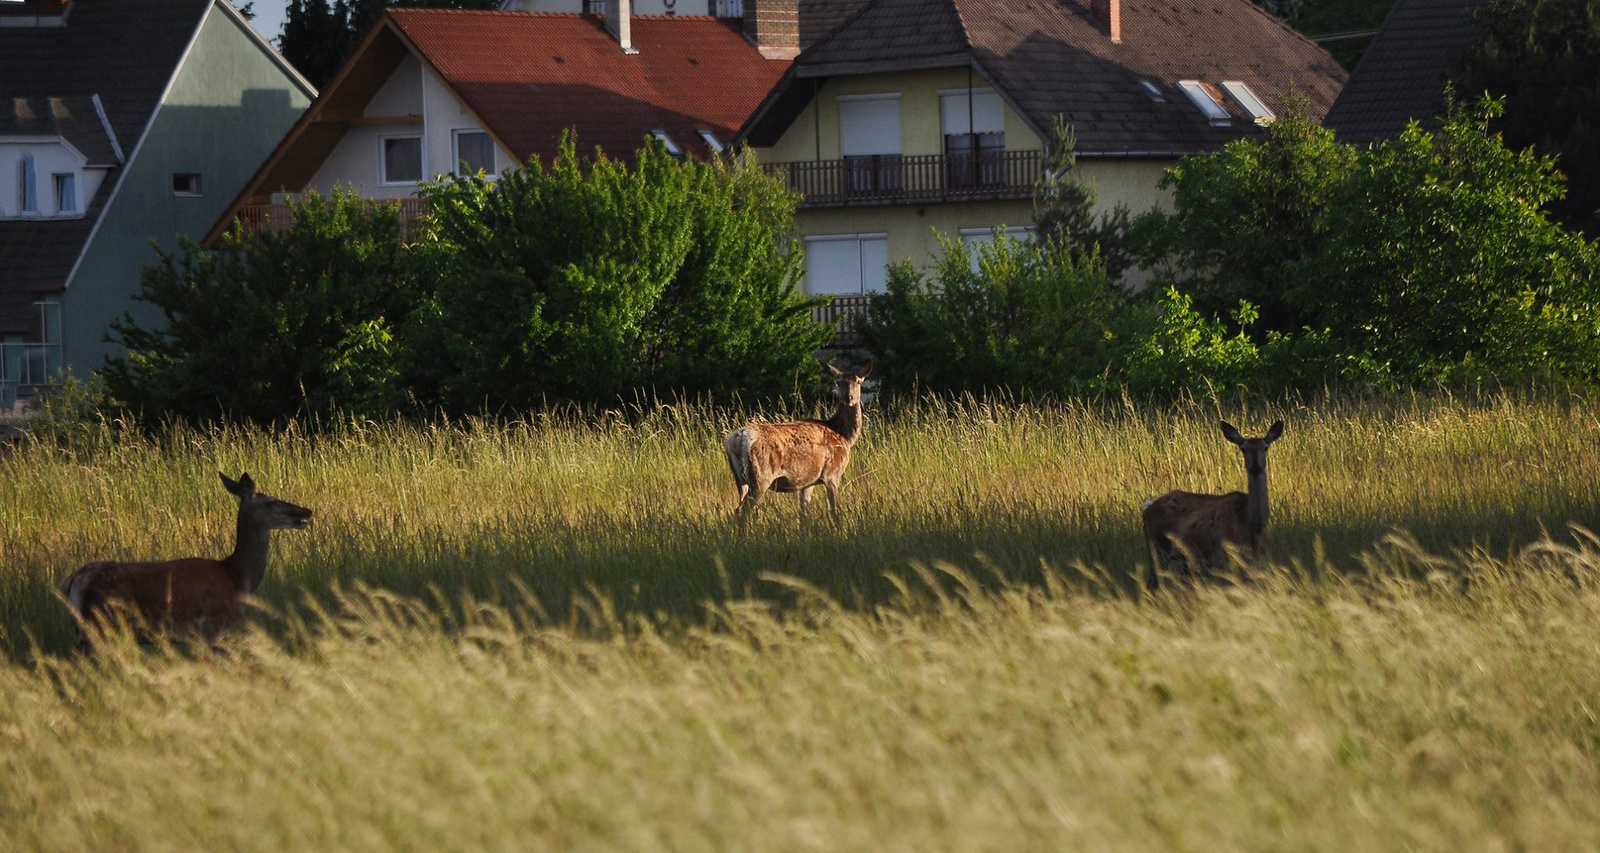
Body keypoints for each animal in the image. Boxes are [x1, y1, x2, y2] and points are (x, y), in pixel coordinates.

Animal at [58, 470, 312, 649]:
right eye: (272, 501)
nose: (306, 511)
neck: (236, 577)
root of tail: (74, 582)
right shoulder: (210, 626)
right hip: (105, 621)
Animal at [726, 358, 876, 524]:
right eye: (837, 382)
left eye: (857, 381)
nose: (848, 397)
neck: (843, 434)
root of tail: (738, 439)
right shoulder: (832, 473)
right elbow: (835, 511)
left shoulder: (807, 481)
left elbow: (804, 513)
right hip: (761, 476)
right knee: (744, 510)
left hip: (740, 479)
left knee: (737, 509)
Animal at [1139, 419, 1286, 592]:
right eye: (1243, 448)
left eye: (1265, 447)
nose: (1255, 467)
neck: (1251, 527)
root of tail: (1147, 506)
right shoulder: (1228, 558)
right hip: (1159, 548)